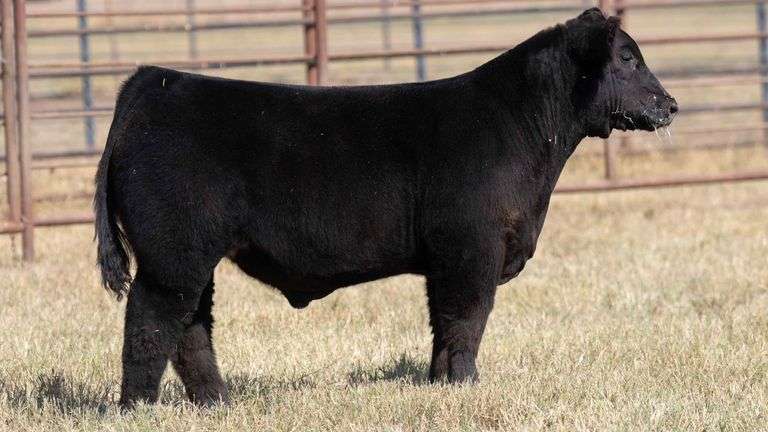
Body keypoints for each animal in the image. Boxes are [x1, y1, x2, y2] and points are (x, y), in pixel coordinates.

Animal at [95, 8, 677, 407]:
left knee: (190, 327)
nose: (670, 104)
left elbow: (443, 323)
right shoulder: (472, 249)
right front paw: (466, 386)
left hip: (192, 257)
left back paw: (217, 402)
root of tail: (157, 81)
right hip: (173, 254)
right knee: (151, 322)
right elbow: (468, 318)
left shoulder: (446, 259)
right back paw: (138, 407)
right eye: (627, 58)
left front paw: (441, 384)